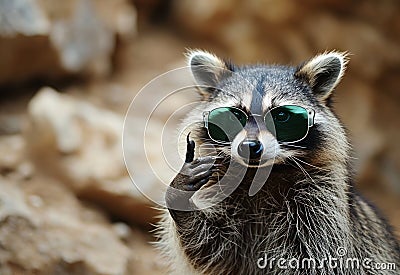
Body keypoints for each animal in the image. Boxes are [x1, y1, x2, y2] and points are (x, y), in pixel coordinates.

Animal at [157, 50, 400, 274]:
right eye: (234, 116)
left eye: (282, 117)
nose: (249, 146)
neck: (260, 174)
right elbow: (213, 249)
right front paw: (180, 195)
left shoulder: (322, 202)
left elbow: (319, 258)